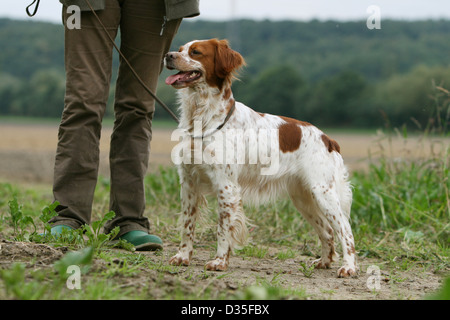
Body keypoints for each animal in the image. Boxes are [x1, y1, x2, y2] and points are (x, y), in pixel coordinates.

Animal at [163, 38, 356, 278]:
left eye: (196, 52)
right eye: (180, 49)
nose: (168, 56)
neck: (203, 117)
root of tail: (328, 139)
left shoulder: (226, 186)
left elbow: (223, 229)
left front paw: (219, 262)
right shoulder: (189, 183)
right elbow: (187, 224)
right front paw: (182, 257)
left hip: (323, 193)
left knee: (345, 229)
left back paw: (349, 267)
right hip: (304, 198)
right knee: (328, 231)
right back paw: (323, 261)